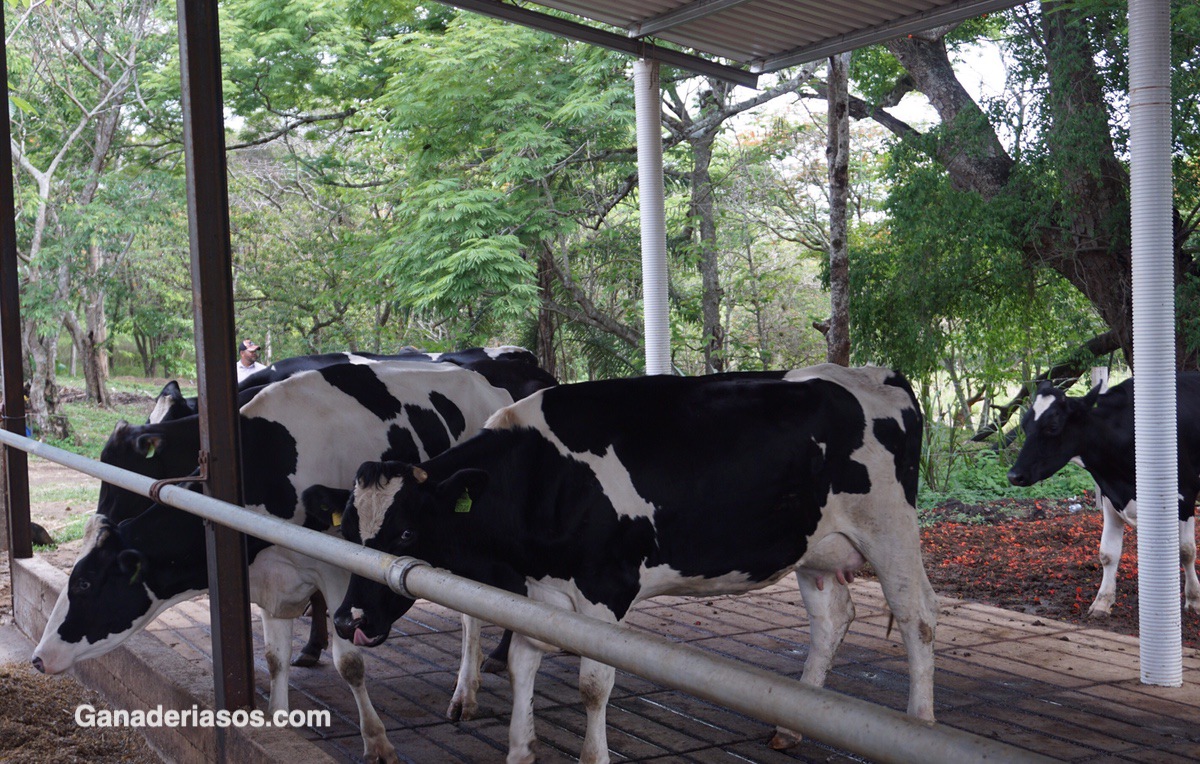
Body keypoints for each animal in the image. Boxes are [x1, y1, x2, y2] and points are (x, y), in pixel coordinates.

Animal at [32, 364, 511, 762]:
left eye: (85, 584)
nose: (38, 659)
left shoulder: (340, 571)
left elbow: (350, 664)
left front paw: (377, 743)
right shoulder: (268, 579)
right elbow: (274, 658)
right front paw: (281, 724)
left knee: (475, 611)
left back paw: (468, 690)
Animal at [331, 367, 936, 758]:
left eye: (407, 530)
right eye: (349, 530)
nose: (347, 620)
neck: (542, 478)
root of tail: (878, 374)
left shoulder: (605, 589)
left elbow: (594, 685)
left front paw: (592, 754)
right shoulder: (540, 594)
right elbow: (523, 662)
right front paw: (521, 749)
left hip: (890, 529)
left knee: (919, 620)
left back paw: (921, 723)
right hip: (814, 544)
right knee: (832, 618)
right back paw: (791, 726)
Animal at [1003, 376, 1200, 614]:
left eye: (1053, 426)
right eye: (1024, 425)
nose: (1014, 475)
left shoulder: (1186, 494)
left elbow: (1186, 550)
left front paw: (1194, 599)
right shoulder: (1109, 496)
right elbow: (1108, 552)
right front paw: (1102, 602)